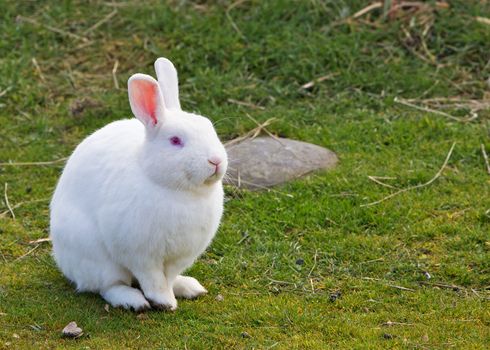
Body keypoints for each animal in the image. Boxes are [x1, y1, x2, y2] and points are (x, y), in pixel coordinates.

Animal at [49, 57, 228, 312]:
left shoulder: (178, 257)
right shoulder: (140, 255)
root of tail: (64, 262)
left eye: (210, 127)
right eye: (175, 140)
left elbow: (168, 277)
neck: (177, 190)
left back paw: (189, 286)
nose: (216, 161)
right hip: (98, 260)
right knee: (109, 286)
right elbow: (153, 280)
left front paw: (172, 294)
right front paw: (164, 302)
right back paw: (134, 301)